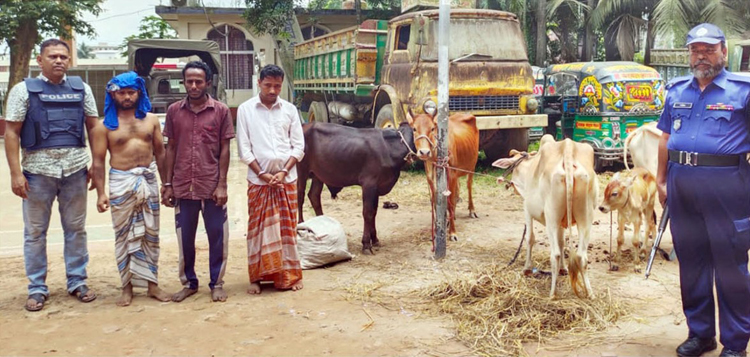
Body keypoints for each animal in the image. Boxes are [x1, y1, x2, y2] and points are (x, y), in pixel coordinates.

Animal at [298, 122, 418, 253]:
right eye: (415, 129)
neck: (388, 148)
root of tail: (306, 124)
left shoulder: (376, 187)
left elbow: (374, 212)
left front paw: (375, 240)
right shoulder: (369, 184)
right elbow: (367, 213)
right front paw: (366, 244)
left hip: (318, 175)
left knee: (314, 196)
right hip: (301, 171)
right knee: (300, 198)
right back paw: (300, 225)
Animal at [408, 110, 478, 239]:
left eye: (432, 128)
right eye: (414, 129)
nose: (424, 152)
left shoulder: (452, 173)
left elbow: (450, 202)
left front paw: (453, 232)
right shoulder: (430, 174)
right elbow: (435, 200)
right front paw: (438, 226)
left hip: (472, 165)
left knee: (468, 185)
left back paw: (471, 210)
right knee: (457, 189)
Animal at [494, 134, 600, 298]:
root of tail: (568, 149)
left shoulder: (527, 209)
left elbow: (530, 238)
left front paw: (527, 269)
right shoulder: (562, 223)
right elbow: (562, 242)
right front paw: (564, 269)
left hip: (552, 218)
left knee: (554, 254)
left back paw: (552, 294)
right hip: (585, 218)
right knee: (581, 256)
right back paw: (590, 293)